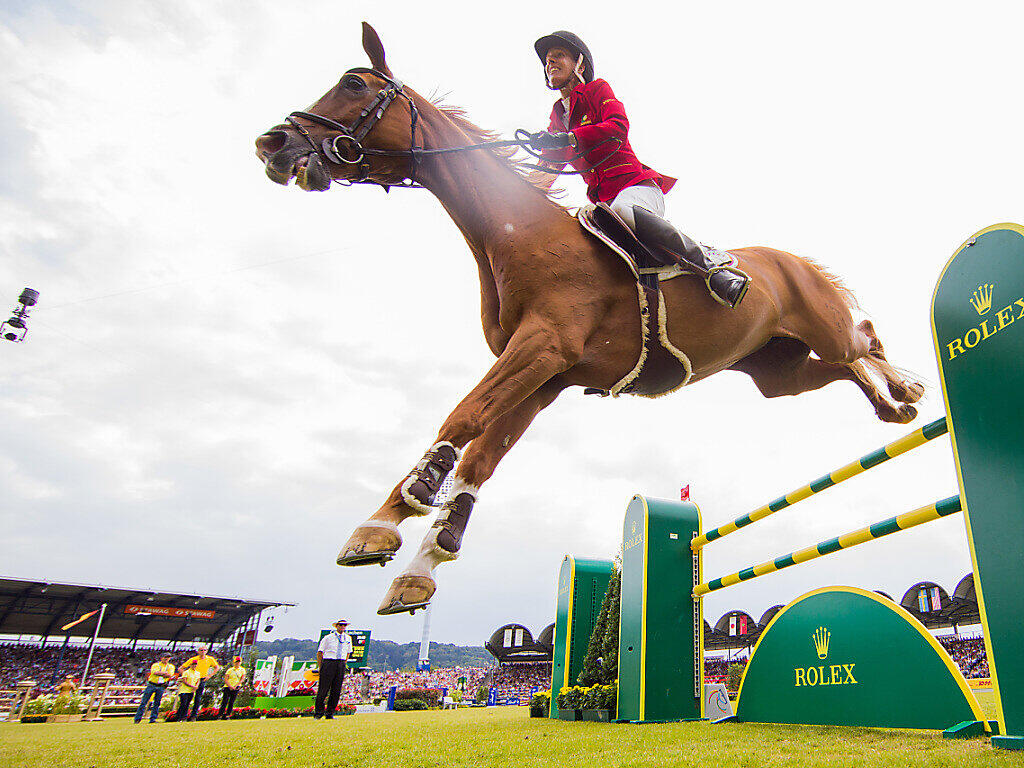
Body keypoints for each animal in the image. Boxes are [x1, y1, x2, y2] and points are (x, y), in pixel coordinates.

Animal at [254, 23, 923, 615]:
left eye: (354, 84)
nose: (273, 145)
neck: (516, 234)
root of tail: (793, 262)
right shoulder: (544, 374)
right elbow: (479, 461)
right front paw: (421, 567)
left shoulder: (543, 347)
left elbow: (463, 416)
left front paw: (387, 519)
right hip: (776, 374)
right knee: (840, 369)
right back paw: (891, 408)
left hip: (822, 328)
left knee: (864, 339)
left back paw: (906, 385)